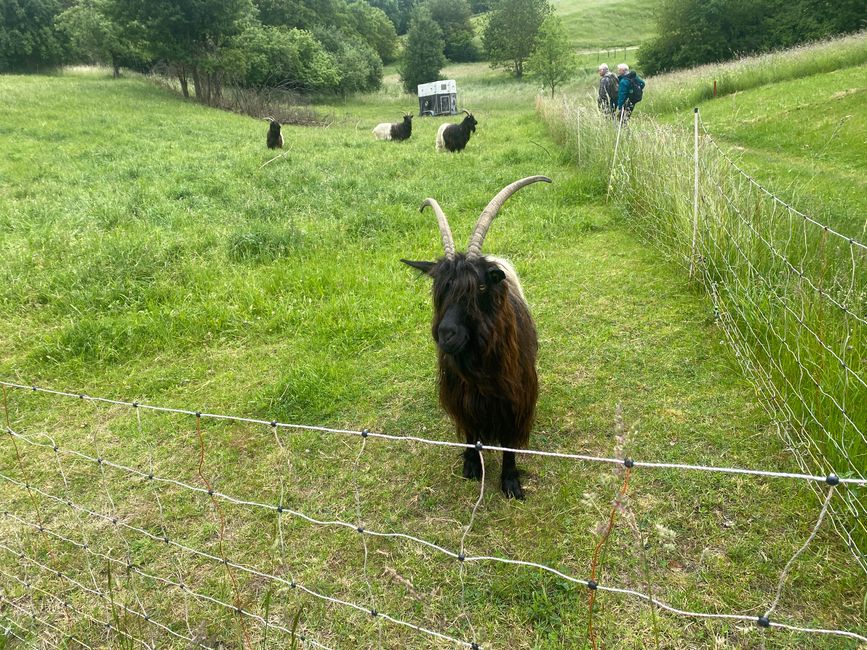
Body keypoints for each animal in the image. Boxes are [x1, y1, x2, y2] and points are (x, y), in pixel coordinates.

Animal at [402, 176, 551, 499]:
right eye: (439, 288)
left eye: (480, 288)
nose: (447, 335)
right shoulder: (461, 397)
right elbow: (470, 431)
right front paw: (472, 464)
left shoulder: (515, 400)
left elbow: (509, 444)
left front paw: (510, 481)